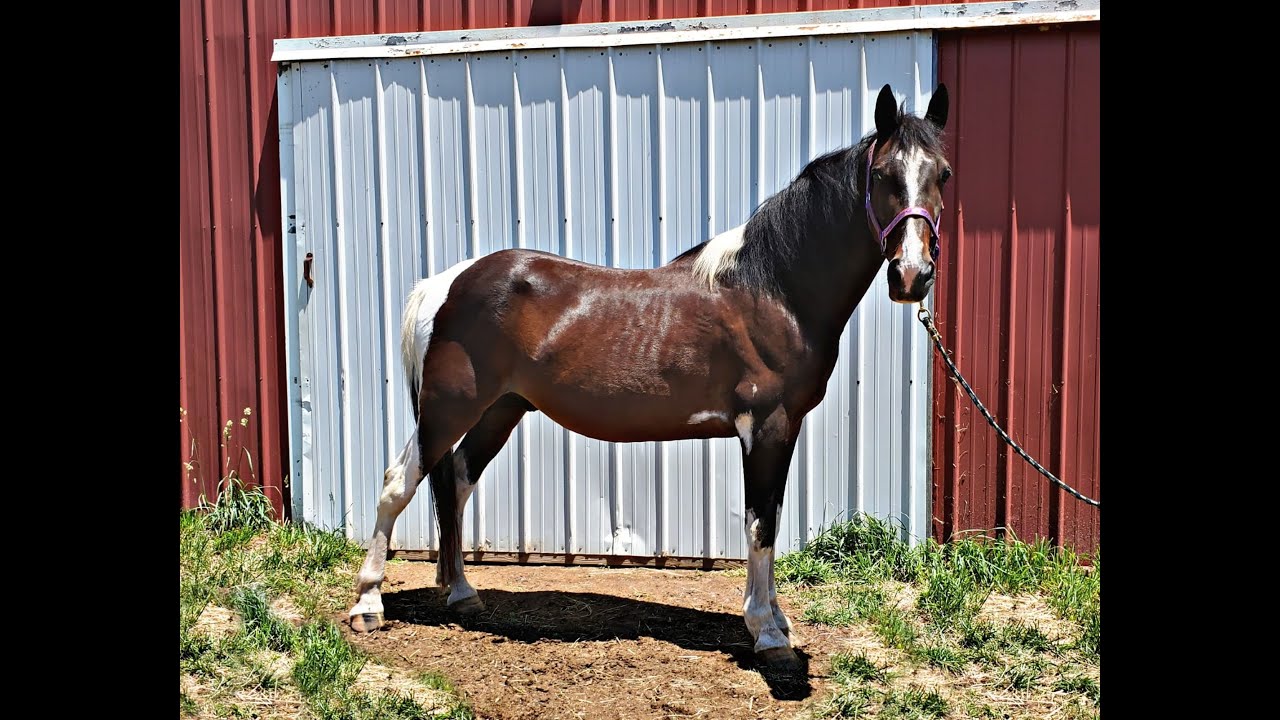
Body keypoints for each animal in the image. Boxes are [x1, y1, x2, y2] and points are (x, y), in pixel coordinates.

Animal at [347, 82, 951, 669]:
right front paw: (766, 633)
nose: (912, 276)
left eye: (942, 173)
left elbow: (771, 518)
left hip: (500, 409)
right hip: (448, 408)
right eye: (883, 175)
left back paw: (461, 593)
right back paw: (368, 604)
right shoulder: (765, 425)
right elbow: (761, 525)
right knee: (399, 483)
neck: (774, 288)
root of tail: (445, 283)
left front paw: (777, 621)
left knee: (455, 481)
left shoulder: (783, 428)